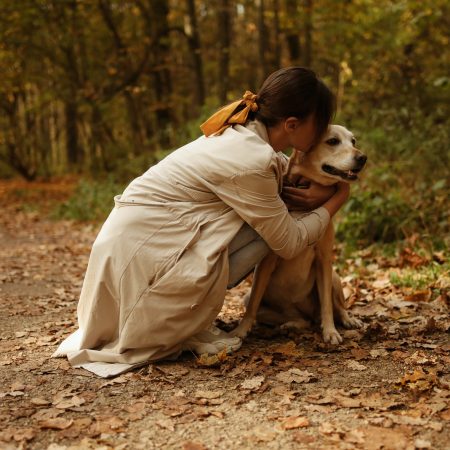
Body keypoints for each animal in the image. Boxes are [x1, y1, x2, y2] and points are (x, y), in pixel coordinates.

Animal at [232, 125, 366, 342]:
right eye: (332, 141)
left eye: (353, 141)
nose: (363, 158)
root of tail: (308, 314)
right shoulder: (265, 263)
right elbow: (252, 306)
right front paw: (241, 330)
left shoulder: (323, 260)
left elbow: (327, 305)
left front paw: (330, 331)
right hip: (252, 299)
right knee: (301, 320)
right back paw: (292, 325)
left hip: (334, 278)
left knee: (337, 307)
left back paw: (347, 320)